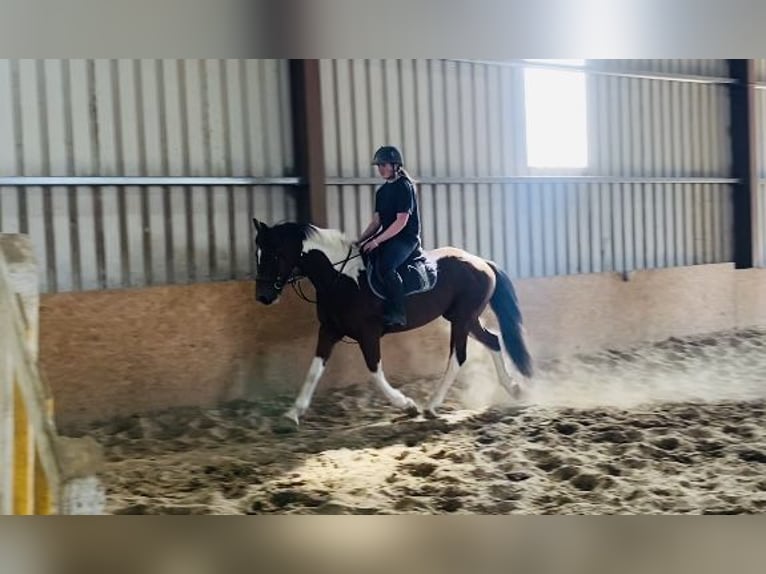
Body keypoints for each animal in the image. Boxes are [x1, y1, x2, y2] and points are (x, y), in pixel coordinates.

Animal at [252, 220, 536, 428]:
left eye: (274, 255)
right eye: (258, 254)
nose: (263, 297)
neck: (341, 278)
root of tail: (481, 262)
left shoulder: (367, 334)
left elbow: (374, 372)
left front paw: (407, 405)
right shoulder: (330, 331)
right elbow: (314, 370)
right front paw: (292, 414)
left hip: (462, 319)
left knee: (459, 356)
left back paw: (431, 405)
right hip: (463, 318)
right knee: (493, 340)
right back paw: (514, 389)